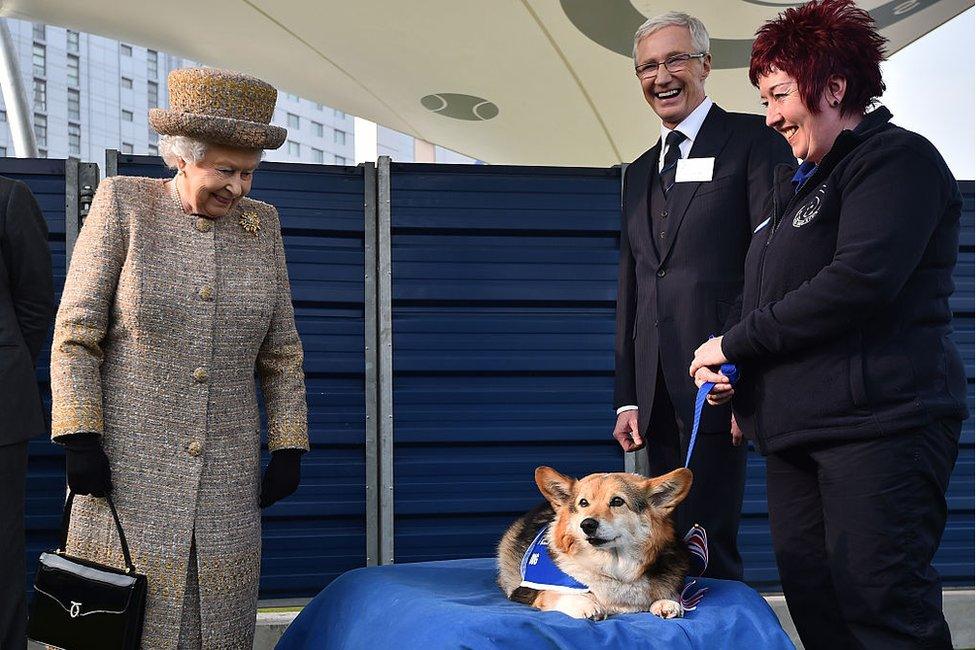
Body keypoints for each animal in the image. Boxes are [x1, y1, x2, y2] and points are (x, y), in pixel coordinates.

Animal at [496, 466, 692, 616]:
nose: (587, 524)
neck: (613, 568)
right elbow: (555, 593)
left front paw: (666, 602)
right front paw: (586, 604)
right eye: (583, 503)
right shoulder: (528, 591)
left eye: (617, 501)